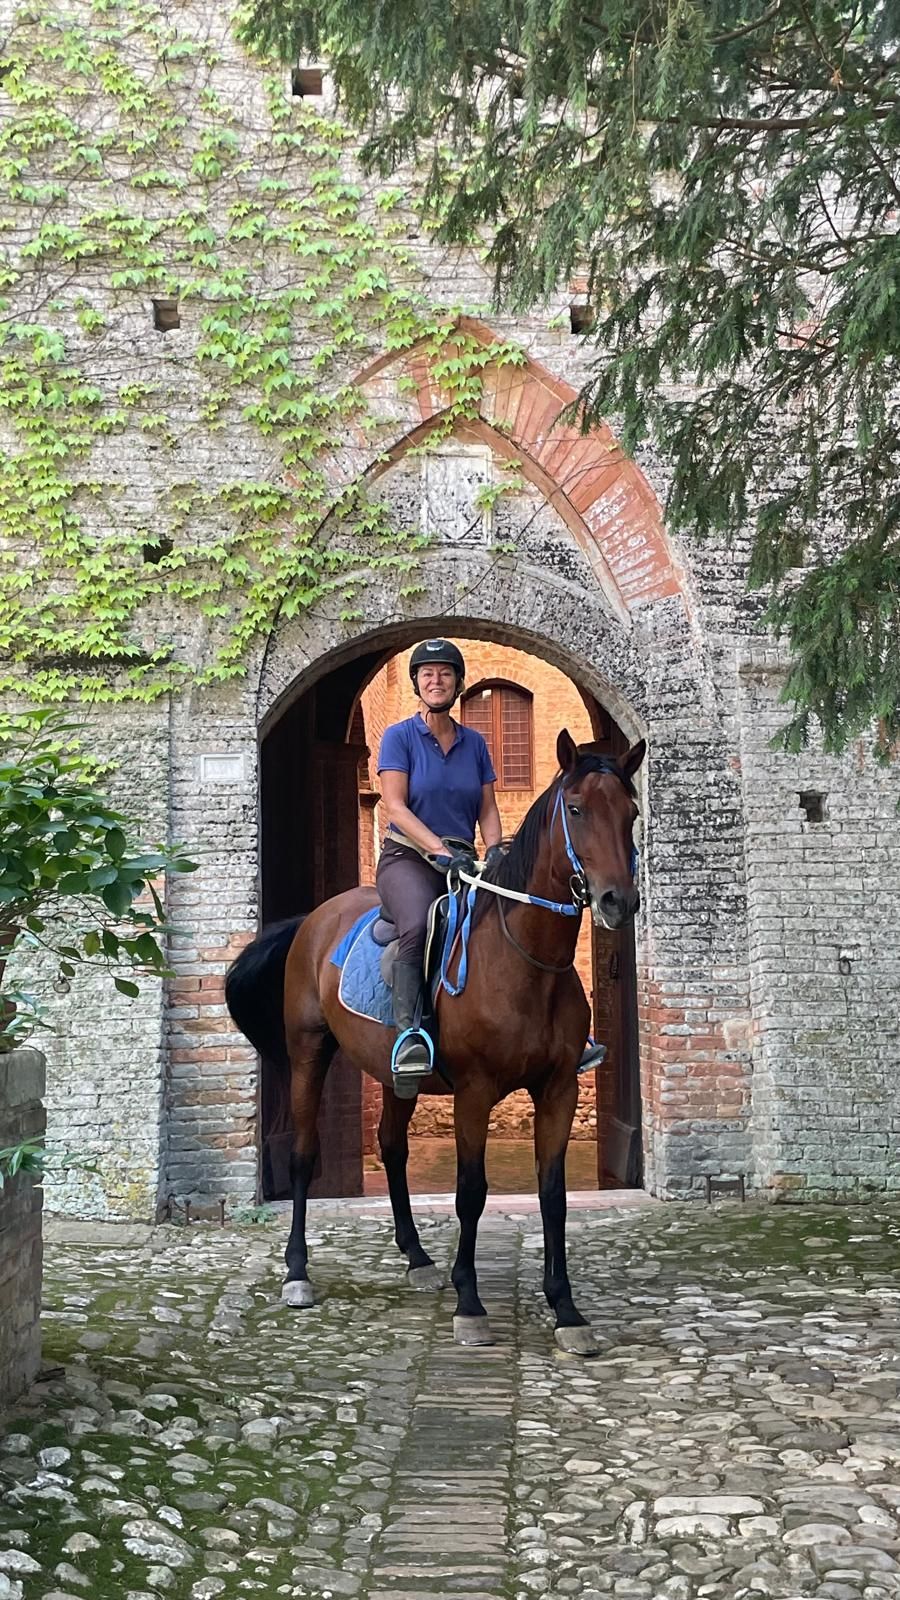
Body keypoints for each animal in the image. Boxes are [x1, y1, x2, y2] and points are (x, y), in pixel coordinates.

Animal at [226, 728, 645, 1354]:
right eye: (575, 809)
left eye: (631, 813)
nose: (619, 900)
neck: (525, 962)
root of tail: (313, 920)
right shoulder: (474, 1092)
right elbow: (471, 1191)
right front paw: (470, 1304)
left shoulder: (558, 1091)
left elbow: (553, 1195)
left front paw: (566, 1310)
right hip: (308, 1053)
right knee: (302, 1156)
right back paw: (297, 1273)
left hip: (396, 1074)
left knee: (391, 1146)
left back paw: (417, 1256)